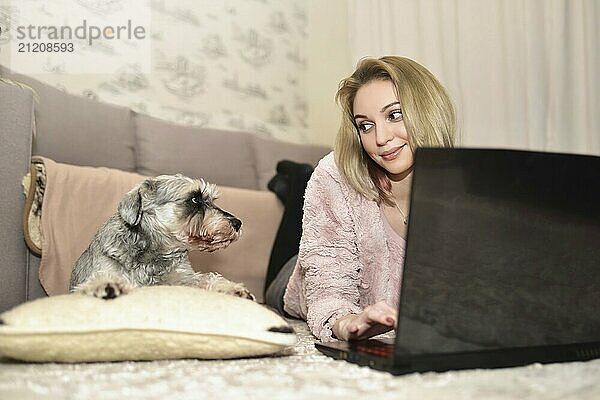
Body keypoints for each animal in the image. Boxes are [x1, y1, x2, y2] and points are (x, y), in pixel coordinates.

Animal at [69, 174, 253, 300]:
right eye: (195, 199)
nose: (237, 223)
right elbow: (99, 279)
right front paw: (105, 285)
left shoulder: (182, 279)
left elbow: (204, 278)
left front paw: (232, 289)